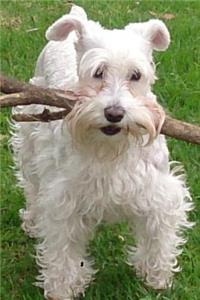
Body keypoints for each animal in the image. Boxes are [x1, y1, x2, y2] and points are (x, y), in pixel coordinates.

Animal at [11, 4, 193, 300]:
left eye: (136, 75)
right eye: (98, 72)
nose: (114, 113)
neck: (111, 149)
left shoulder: (158, 194)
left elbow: (158, 238)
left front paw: (156, 277)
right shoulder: (64, 203)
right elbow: (63, 251)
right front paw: (62, 288)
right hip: (29, 145)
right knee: (32, 190)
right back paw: (32, 220)